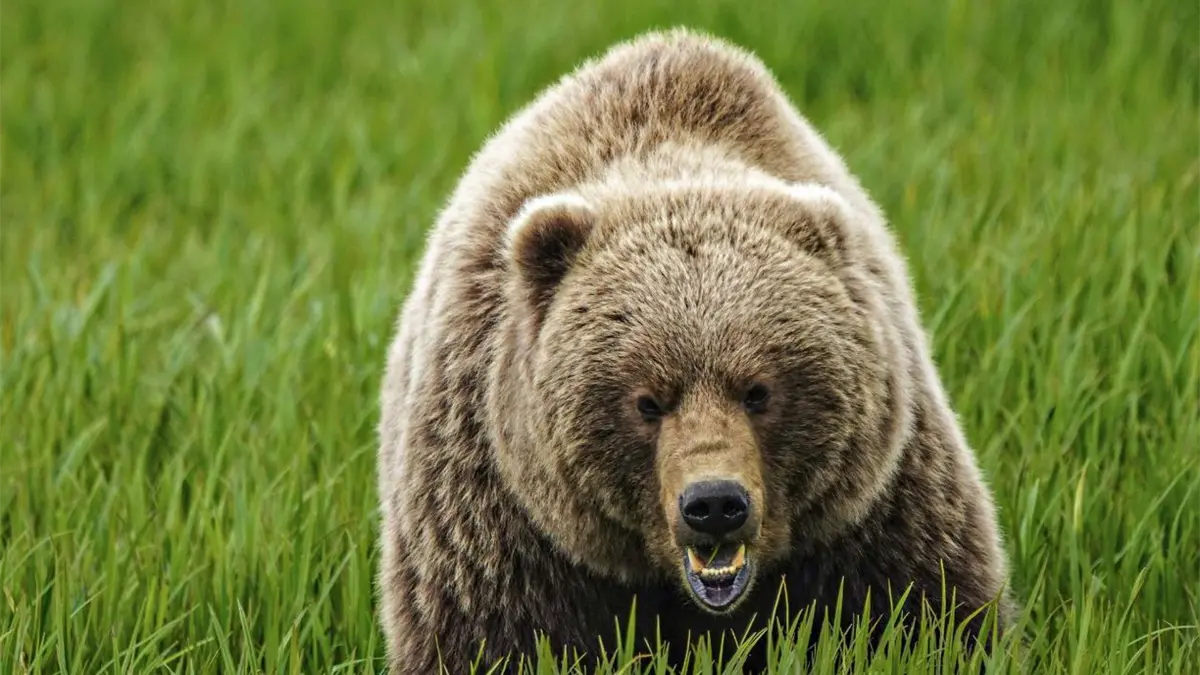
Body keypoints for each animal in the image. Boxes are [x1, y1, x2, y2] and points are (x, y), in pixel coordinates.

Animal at [375, 27, 1015, 674]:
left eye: (759, 391)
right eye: (646, 401)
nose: (714, 503)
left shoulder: (875, 505)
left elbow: (927, 613)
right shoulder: (503, 523)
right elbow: (492, 639)